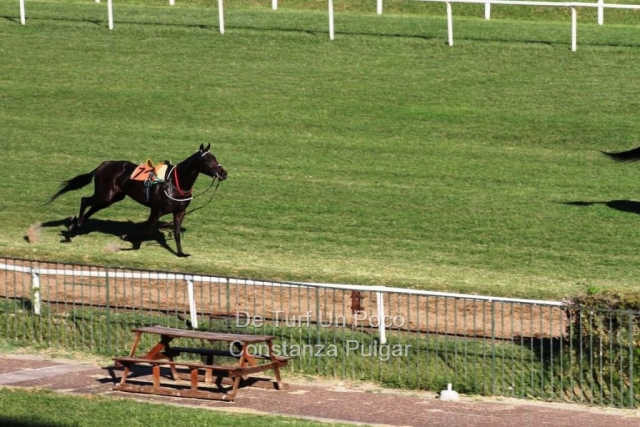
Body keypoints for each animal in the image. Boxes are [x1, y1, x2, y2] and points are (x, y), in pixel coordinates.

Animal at [47, 143, 227, 257]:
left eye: (215, 157)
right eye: (208, 160)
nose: (224, 174)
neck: (175, 183)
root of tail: (102, 165)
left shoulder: (179, 212)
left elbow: (176, 233)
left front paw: (181, 253)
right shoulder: (157, 210)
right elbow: (147, 230)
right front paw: (128, 238)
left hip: (113, 197)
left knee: (92, 208)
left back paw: (75, 225)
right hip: (105, 195)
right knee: (85, 200)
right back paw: (72, 229)